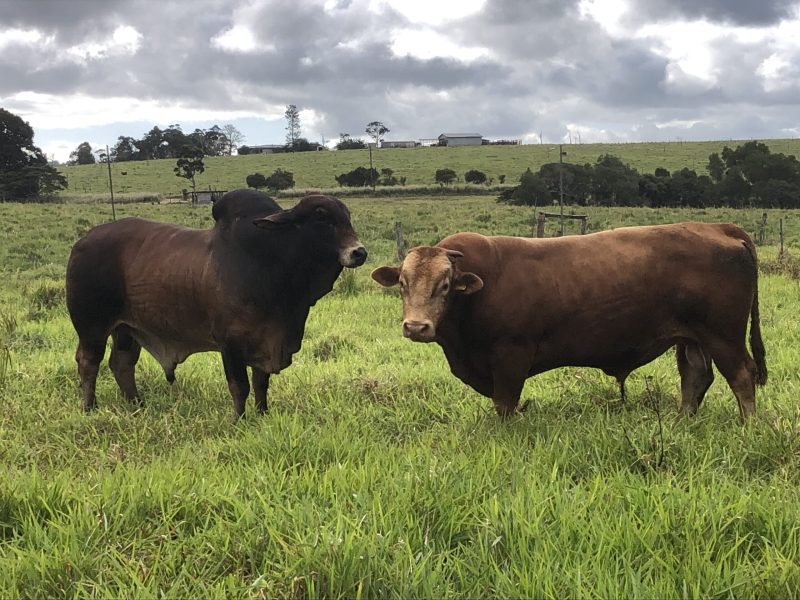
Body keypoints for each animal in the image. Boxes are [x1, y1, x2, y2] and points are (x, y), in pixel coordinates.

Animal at [67, 190, 368, 414]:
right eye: (322, 218)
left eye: (347, 218)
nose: (359, 252)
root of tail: (82, 241)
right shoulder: (230, 343)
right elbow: (239, 386)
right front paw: (239, 420)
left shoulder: (267, 341)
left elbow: (261, 384)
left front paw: (263, 414)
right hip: (92, 327)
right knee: (88, 363)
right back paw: (90, 407)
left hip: (127, 329)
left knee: (121, 364)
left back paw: (137, 405)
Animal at [376, 223, 768, 420]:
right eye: (402, 284)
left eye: (444, 285)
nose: (416, 327)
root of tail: (718, 227)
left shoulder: (511, 355)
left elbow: (505, 404)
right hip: (692, 337)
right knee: (696, 376)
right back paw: (681, 423)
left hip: (723, 335)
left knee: (741, 376)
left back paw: (748, 427)